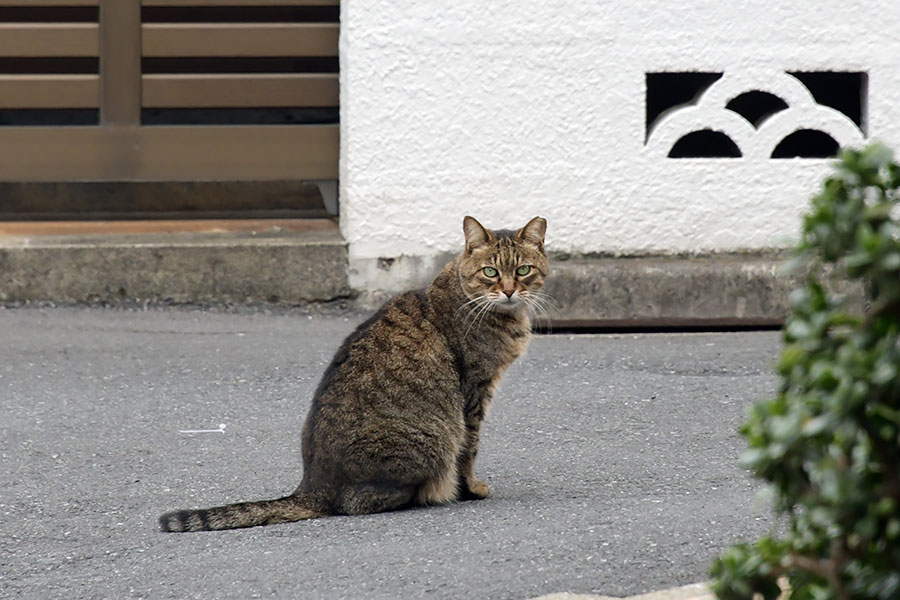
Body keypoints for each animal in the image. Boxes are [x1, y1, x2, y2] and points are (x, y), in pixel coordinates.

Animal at [158, 214, 544, 528]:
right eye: (490, 272)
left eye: (523, 270)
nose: (509, 291)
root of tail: (311, 485)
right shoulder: (475, 391)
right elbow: (470, 449)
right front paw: (471, 489)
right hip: (435, 439)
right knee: (357, 501)